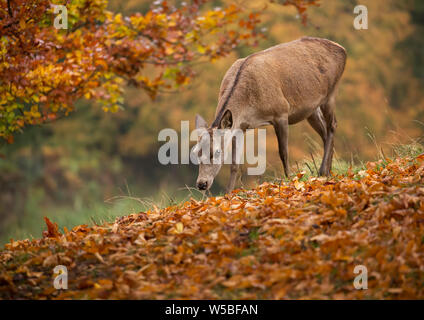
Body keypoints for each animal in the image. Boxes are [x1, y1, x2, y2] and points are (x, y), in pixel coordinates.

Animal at [194, 37, 346, 192]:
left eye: (217, 152)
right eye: (196, 152)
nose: (201, 184)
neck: (249, 107)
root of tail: (342, 49)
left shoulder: (281, 112)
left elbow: (283, 152)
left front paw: (290, 180)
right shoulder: (240, 127)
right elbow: (235, 164)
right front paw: (228, 193)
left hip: (331, 92)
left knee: (332, 125)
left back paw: (322, 171)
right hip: (311, 109)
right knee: (324, 132)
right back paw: (328, 171)